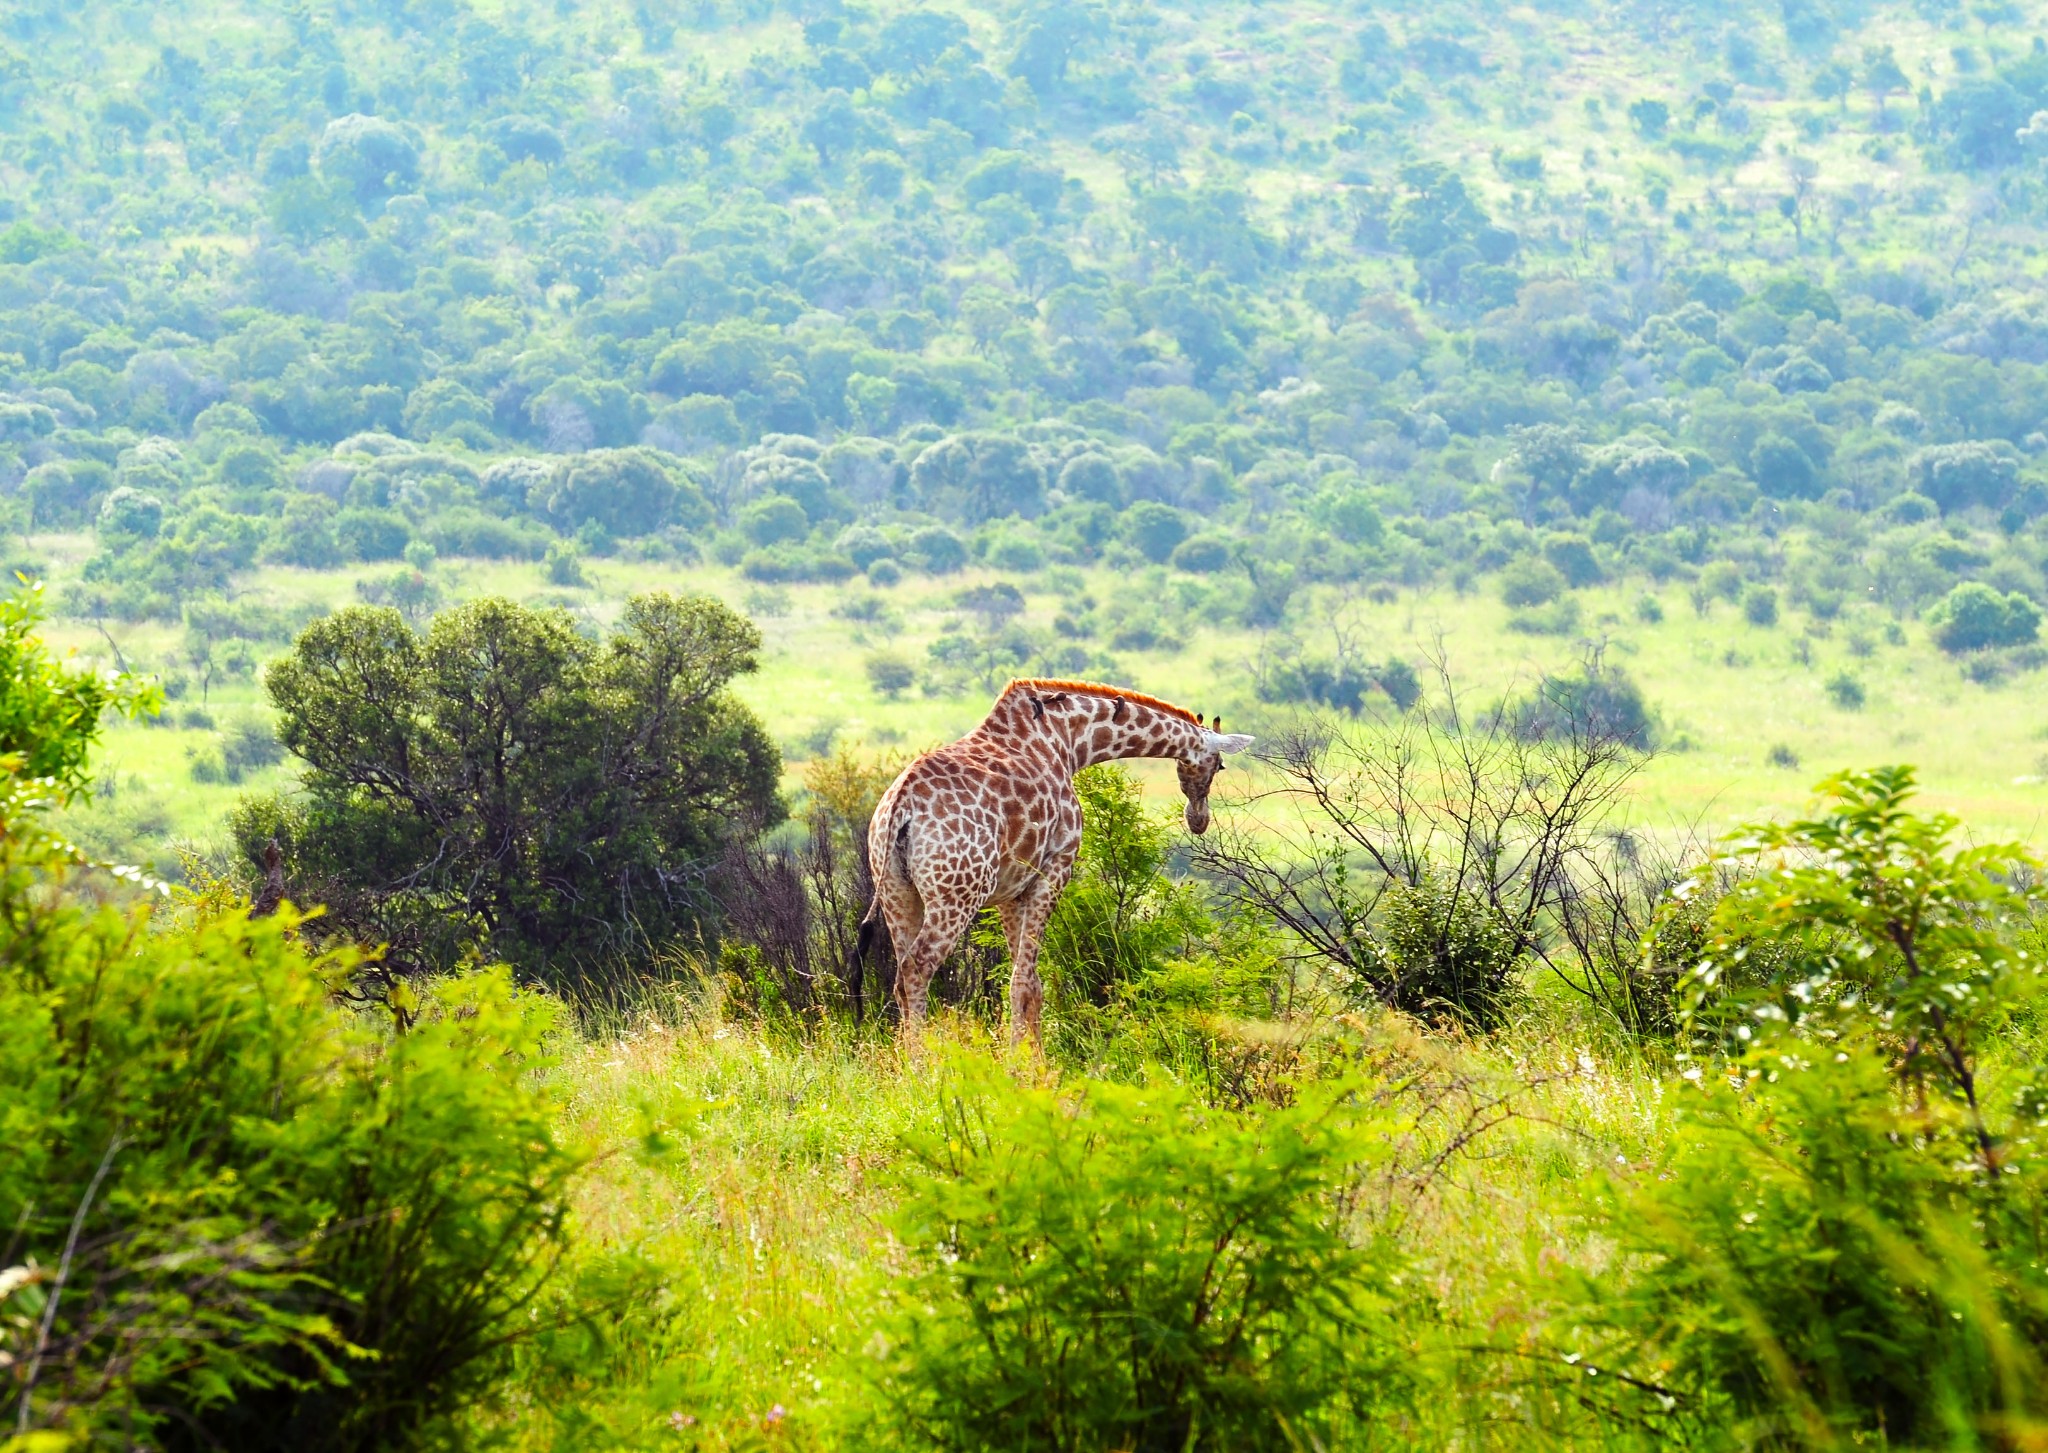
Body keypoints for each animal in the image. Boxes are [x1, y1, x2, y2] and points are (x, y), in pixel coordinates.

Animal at [843, 676, 1245, 1049]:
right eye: (1221, 765)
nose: (1198, 820)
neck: (1068, 739)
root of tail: (902, 808)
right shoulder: (1055, 867)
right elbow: (1023, 981)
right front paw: (1021, 1065)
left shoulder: (1010, 889)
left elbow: (1028, 981)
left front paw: (1032, 1060)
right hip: (956, 894)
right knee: (917, 968)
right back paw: (925, 1066)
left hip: (895, 891)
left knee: (899, 977)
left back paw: (909, 1066)